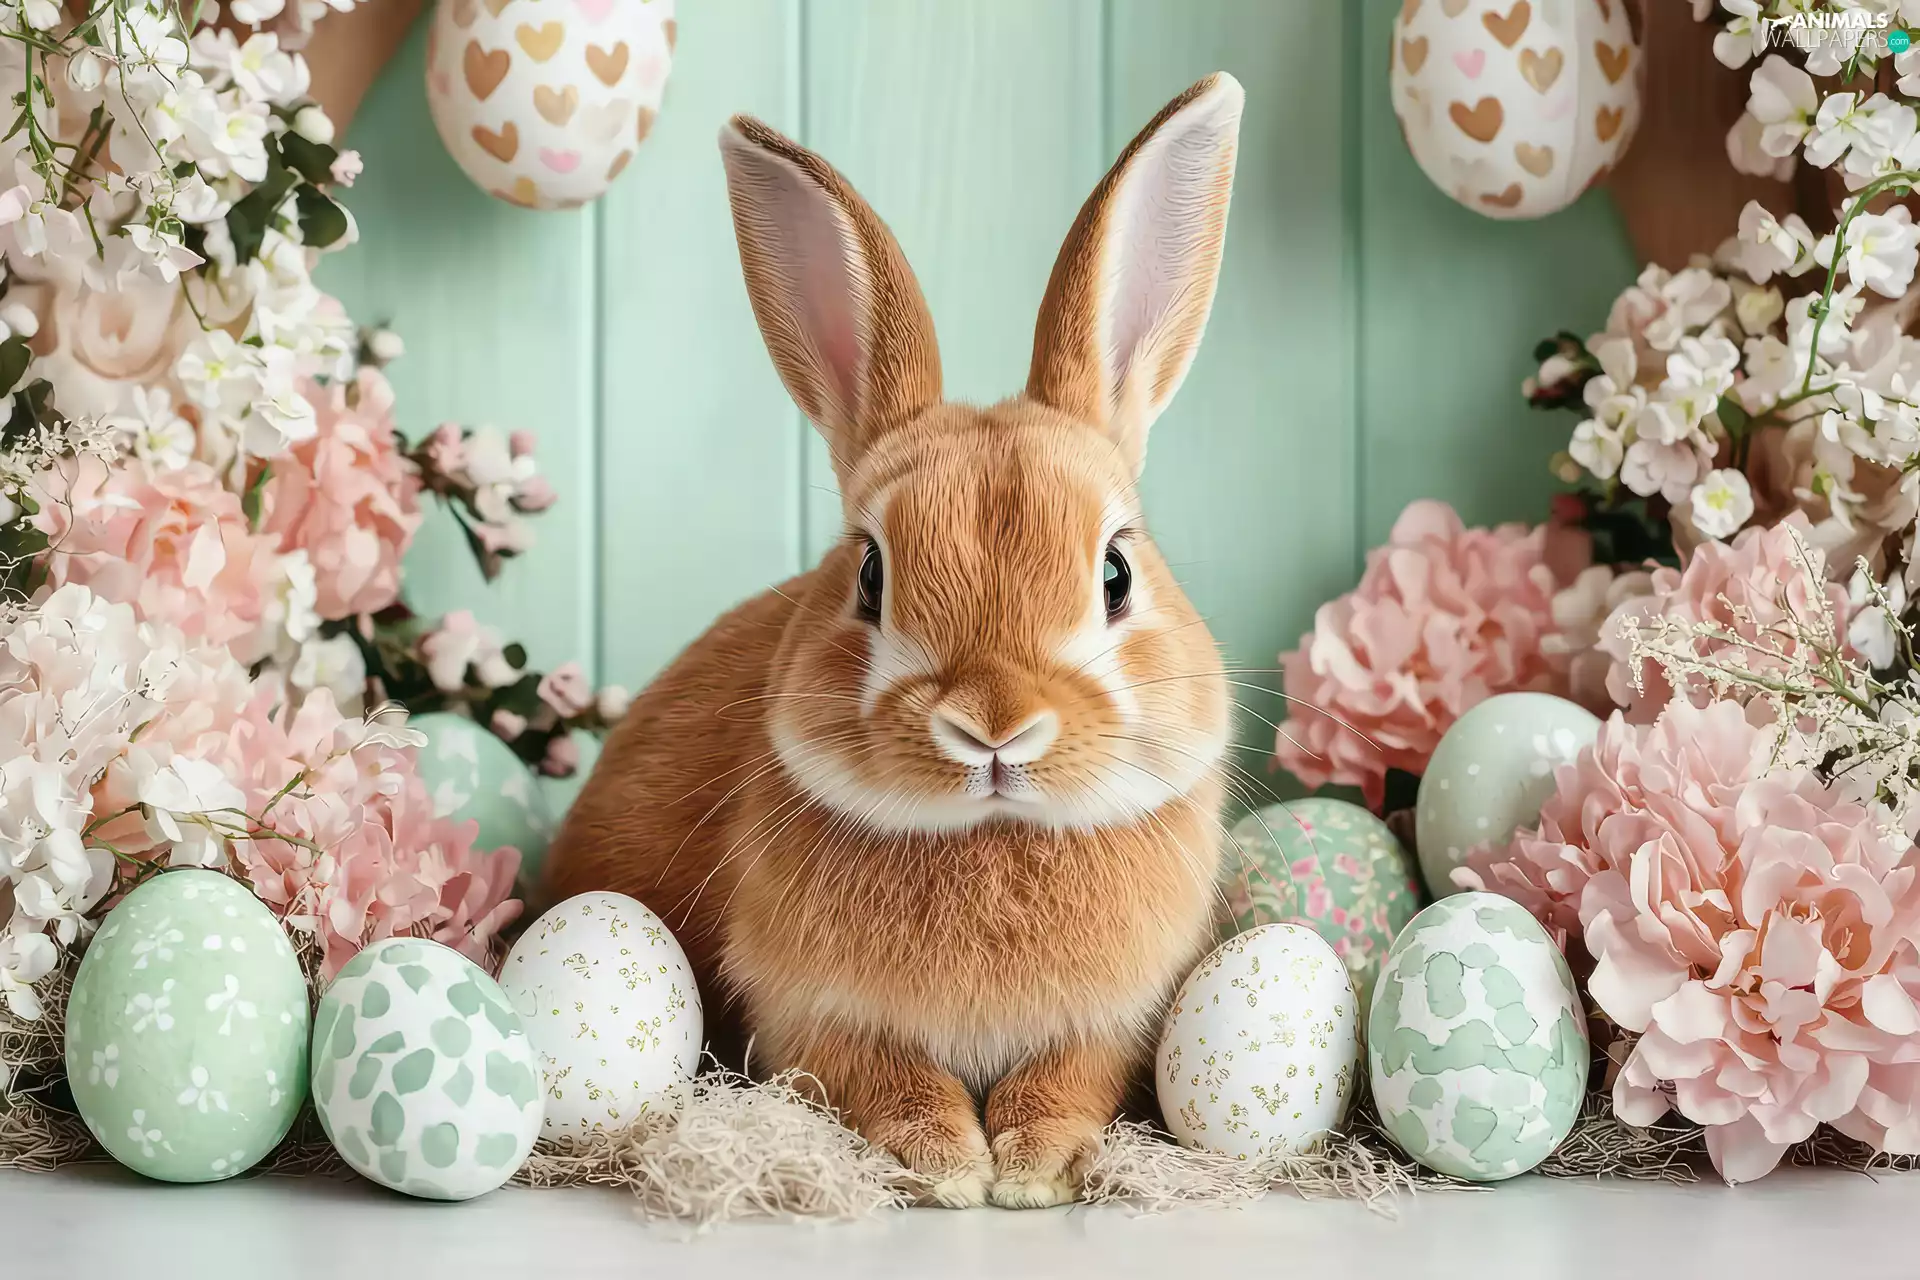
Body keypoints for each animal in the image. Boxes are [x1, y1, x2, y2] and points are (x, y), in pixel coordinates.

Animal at [545, 72, 1243, 1209]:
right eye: (870, 575)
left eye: (1116, 573)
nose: (996, 725)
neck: (988, 836)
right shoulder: (810, 1018)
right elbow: (883, 1077)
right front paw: (951, 1164)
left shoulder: (1117, 1022)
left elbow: (1069, 1080)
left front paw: (1034, 1166)